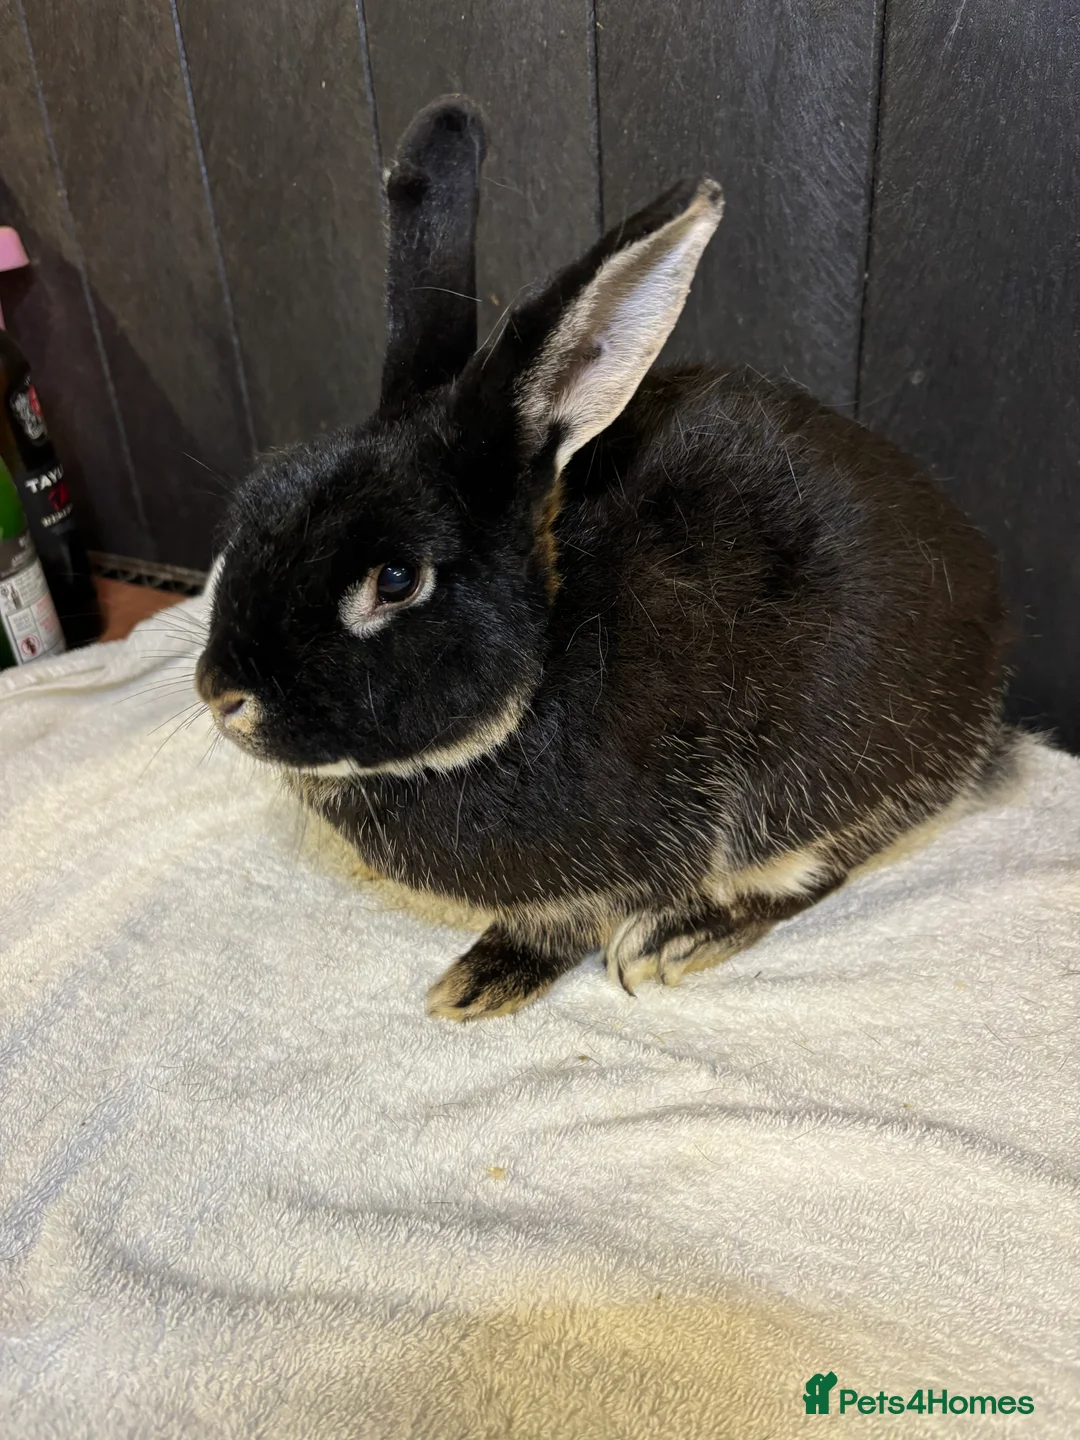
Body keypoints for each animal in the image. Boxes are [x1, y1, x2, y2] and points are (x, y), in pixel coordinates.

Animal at [196, 95, 1008, 1020]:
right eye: (260, 492)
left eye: (396, 580)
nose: (222, 696)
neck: (543, 664)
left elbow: (568, 922)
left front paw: (479, 982)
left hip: (817, 780)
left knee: (809, 871)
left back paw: (675, 940)